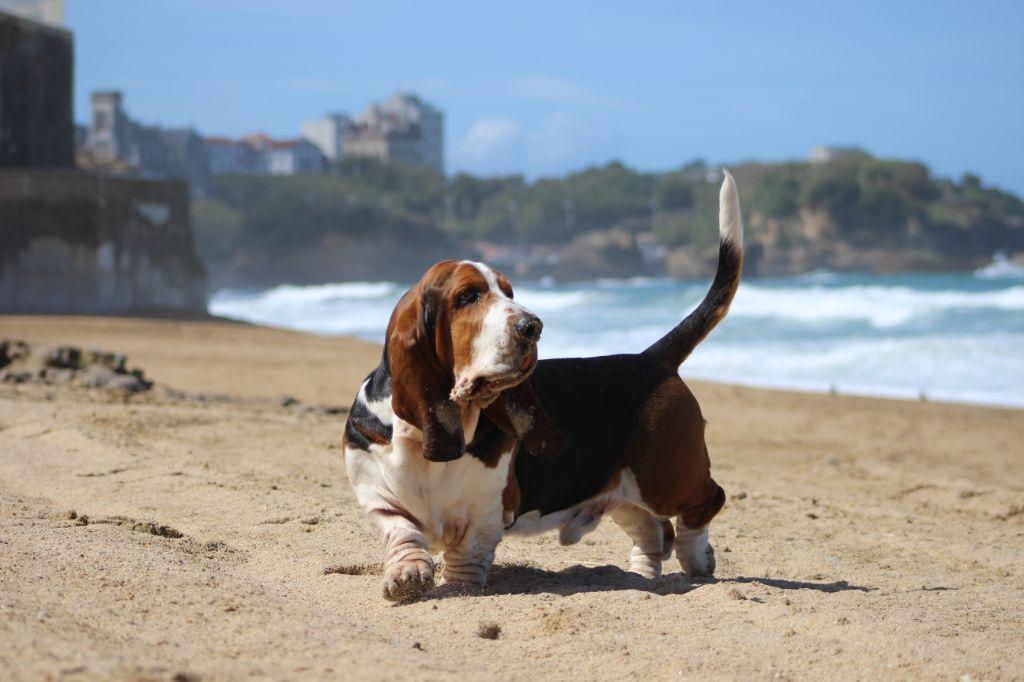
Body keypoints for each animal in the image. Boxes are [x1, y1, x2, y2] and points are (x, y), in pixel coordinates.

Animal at [344, 169, 745, 602]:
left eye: (509, 292)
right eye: (467, 296)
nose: (532, 326)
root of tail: (651, 359)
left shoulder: (486, 510)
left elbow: (467, 554)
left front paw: (462, 587)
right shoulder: (377, 496)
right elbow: (401, 531)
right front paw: (408, 574)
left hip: (663, 477)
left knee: (705, 503)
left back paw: (697, 558)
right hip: (624, 491)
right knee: (653, 530)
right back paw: (641, 577)